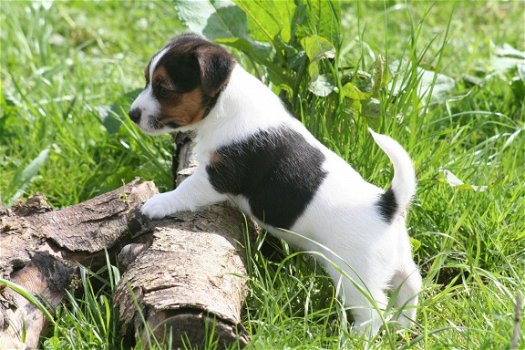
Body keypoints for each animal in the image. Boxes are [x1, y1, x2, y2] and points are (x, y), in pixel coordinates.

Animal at [128, 34, 422, 338]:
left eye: (163, 88)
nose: (132, 114)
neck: (226, 103)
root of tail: (387, 204)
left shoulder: (220, 175)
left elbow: (186, 190)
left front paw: (157, 203)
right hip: (399, 260)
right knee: (411, 286)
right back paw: (404, 327)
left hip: (355, 274)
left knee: (373, 312)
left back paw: (355, 338)